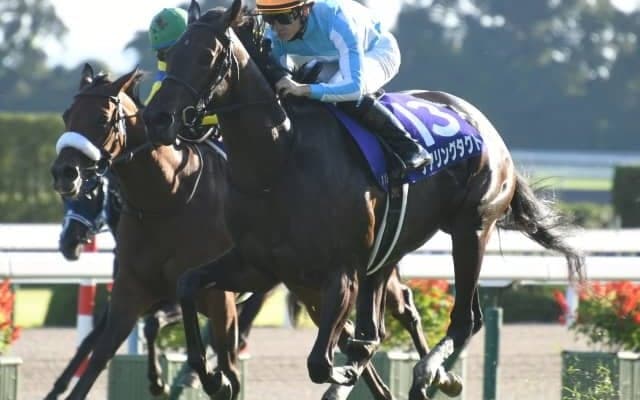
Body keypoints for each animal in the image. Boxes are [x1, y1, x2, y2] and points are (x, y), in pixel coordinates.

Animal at [50, 64, 452, 400]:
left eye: (102, 118)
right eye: (67, 115)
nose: (64, 173)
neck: (167, 199)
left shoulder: (219, 298)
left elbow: (221, 356)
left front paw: (196, 381)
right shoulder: (132, 291)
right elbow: (98, 354)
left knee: (404, 308)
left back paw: (439, 376)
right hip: (308, 286)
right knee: (349, 336)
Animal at [142, 1, 585, 399]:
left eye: (207, 56)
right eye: (172, 54)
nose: (156, 119)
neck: (280, 158)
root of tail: (485, 126)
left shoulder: (340, 271)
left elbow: (321, 362)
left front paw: (345, 373)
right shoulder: (258, 265)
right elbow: (187, 284)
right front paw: (215, 378)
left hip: (471, 227)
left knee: (464, 319)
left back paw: (429, 373)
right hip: (389, 250)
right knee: (401, 321)